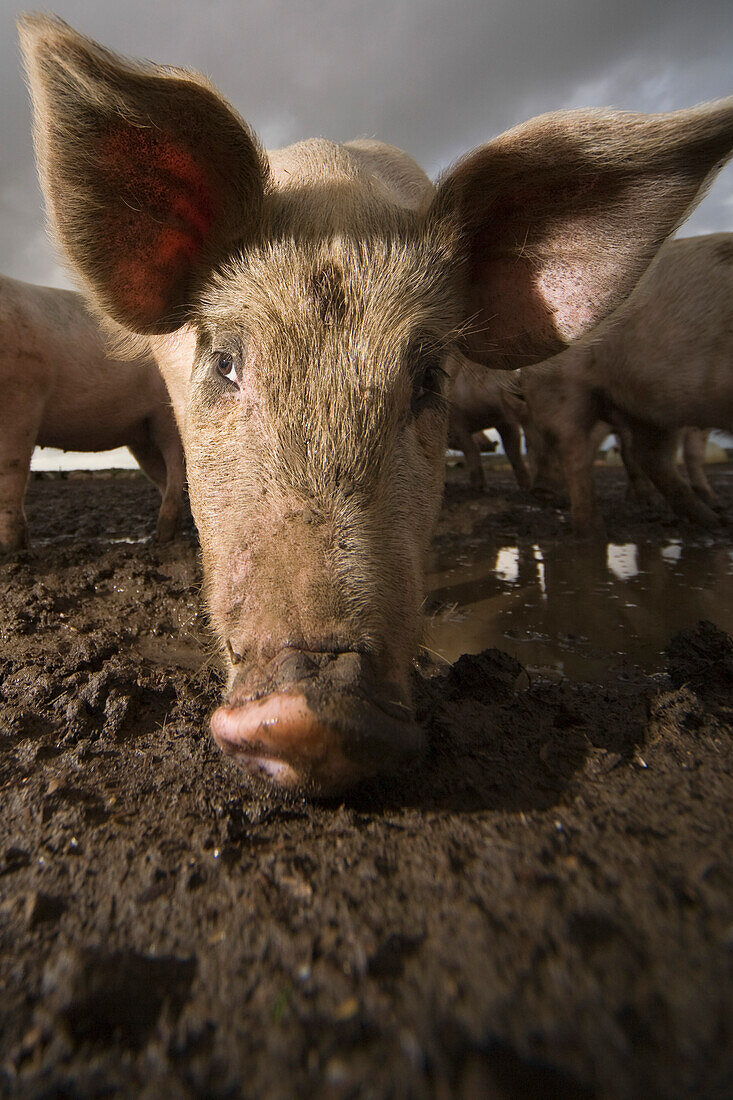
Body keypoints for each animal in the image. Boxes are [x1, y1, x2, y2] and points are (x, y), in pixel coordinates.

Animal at [0, 272, 182, 550]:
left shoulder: (22, 394)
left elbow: (11, 468)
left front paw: (12, 548)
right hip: (143, 435)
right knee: (164, 476)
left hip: (167, 419)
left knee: (177, 471)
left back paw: (164, 537)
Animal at [442, 358, 528, 492]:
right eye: (485, 373)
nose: (494, 443)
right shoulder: (456, 424)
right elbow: (472, 449)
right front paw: (480, 488)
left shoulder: (505, 422)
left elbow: (513, 452)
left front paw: (526, 487)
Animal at [517, 236, 726, 536]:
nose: (540, 492)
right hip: (565, 391)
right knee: (577, 451)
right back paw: (594, 533)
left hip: (651, 403)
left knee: (650, 456)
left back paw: (711, 521)